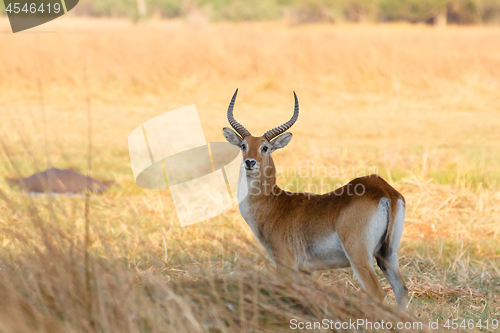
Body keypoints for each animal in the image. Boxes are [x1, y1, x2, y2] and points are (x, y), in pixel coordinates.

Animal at [225, 89, 408, 308]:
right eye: (243, 145)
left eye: (265, 147)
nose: (250, 162)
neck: (273, 204)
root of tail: (385, 191)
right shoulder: (307, 271)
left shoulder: (285, 262)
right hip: (388, 254)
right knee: (401, 290)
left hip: (359, 255)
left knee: (377, 293)